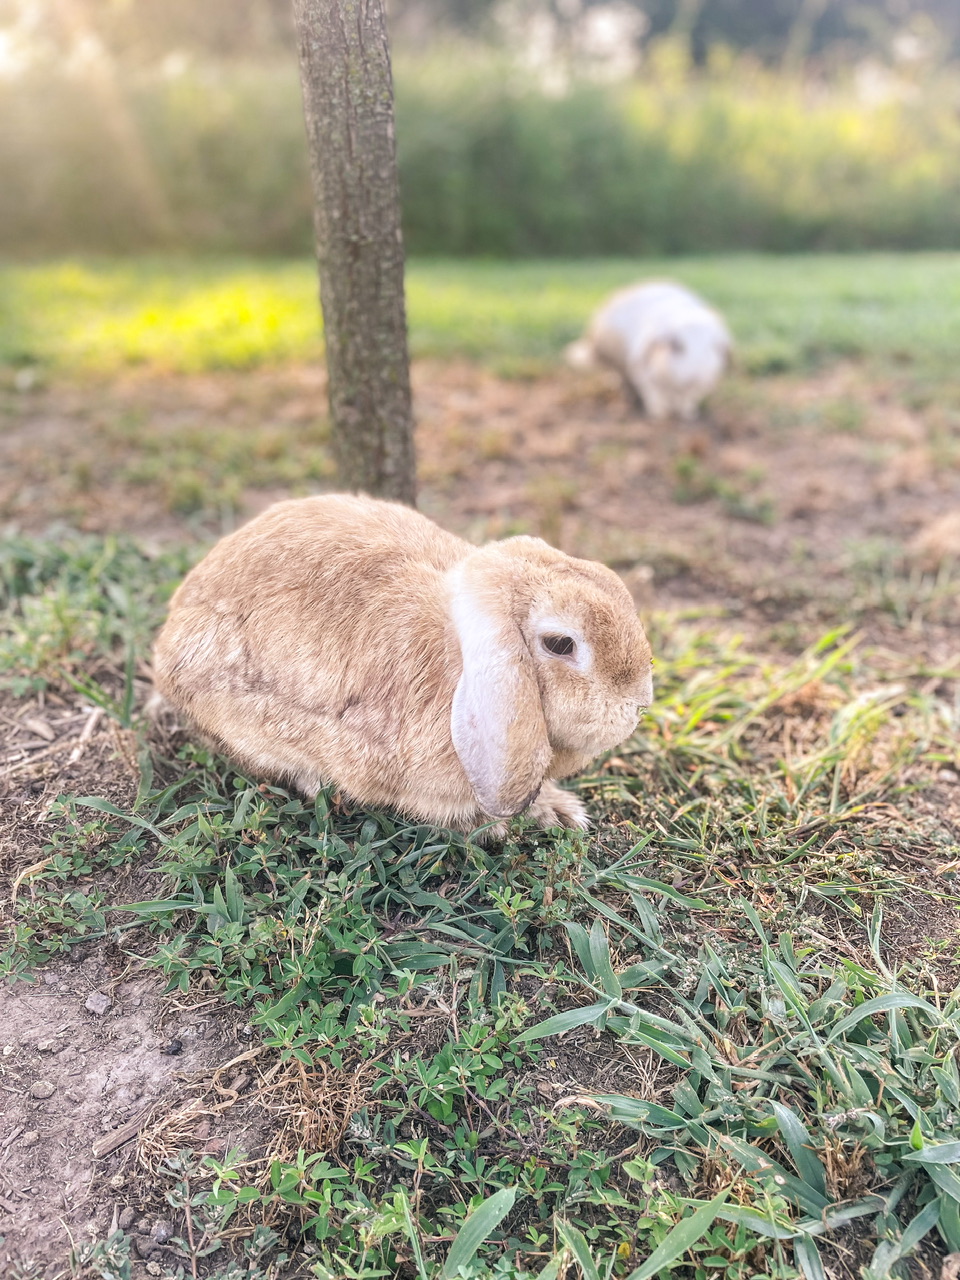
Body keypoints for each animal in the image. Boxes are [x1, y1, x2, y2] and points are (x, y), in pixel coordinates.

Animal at [566, 280, 732, 420]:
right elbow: (655, 396)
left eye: (713, 348)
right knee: (621, 378)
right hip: (616, 364)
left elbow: (687, 401)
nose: (696, 378)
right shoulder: (645, 377)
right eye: (676, 345)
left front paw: (688, 416)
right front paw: (660, 417)